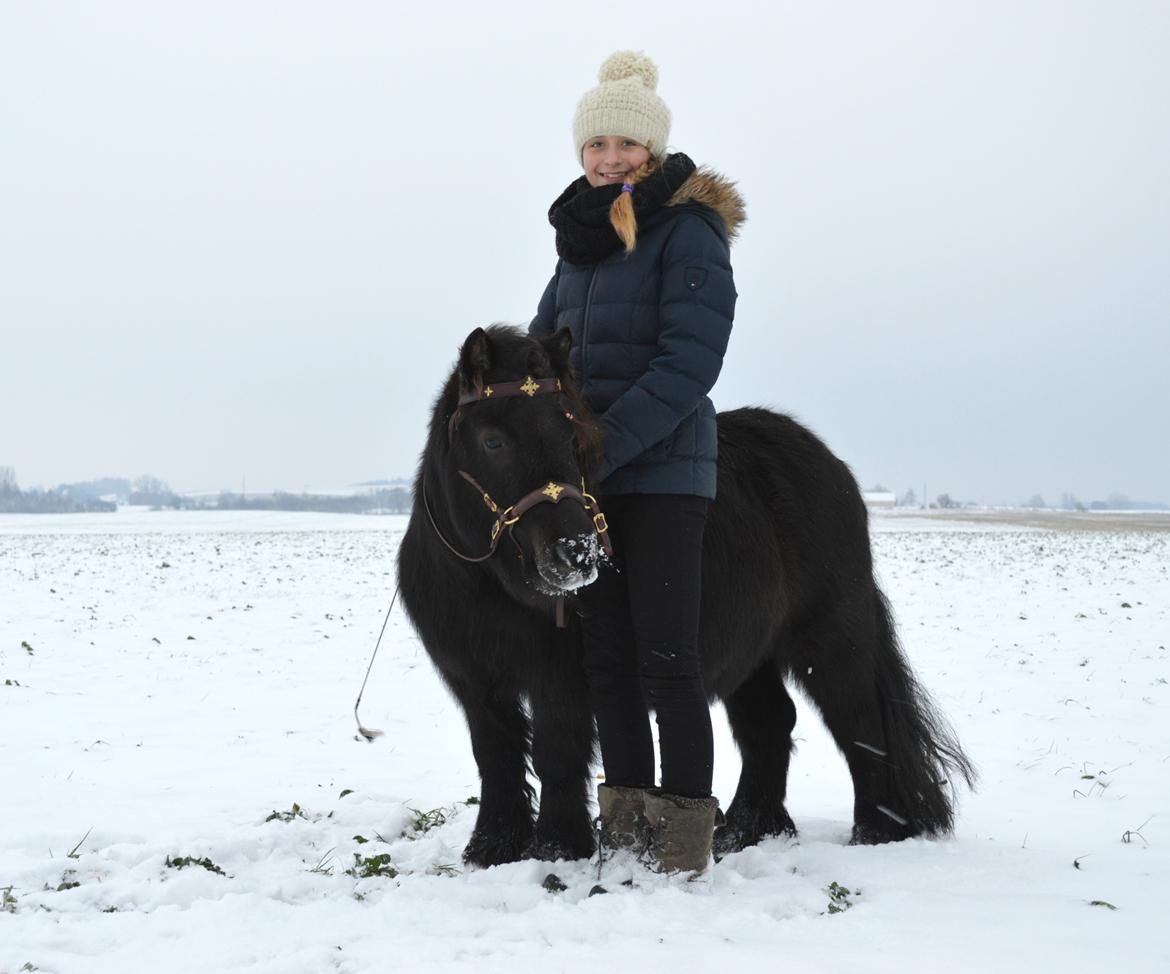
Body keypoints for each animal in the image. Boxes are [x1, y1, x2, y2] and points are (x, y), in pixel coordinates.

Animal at [397, 327, 973, 866]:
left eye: (572, 432)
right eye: (493, 441)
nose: (577, 552)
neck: (489, 587)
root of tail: (831, 467)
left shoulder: (558, 682)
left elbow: (556, 755)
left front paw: (557, 848)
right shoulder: (475, 683)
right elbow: (495, 757)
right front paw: (491, 849)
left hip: (831, 637)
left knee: (861, 723)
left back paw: (875, 832)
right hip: (752, 656)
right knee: (771, 722)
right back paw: (745, 830)